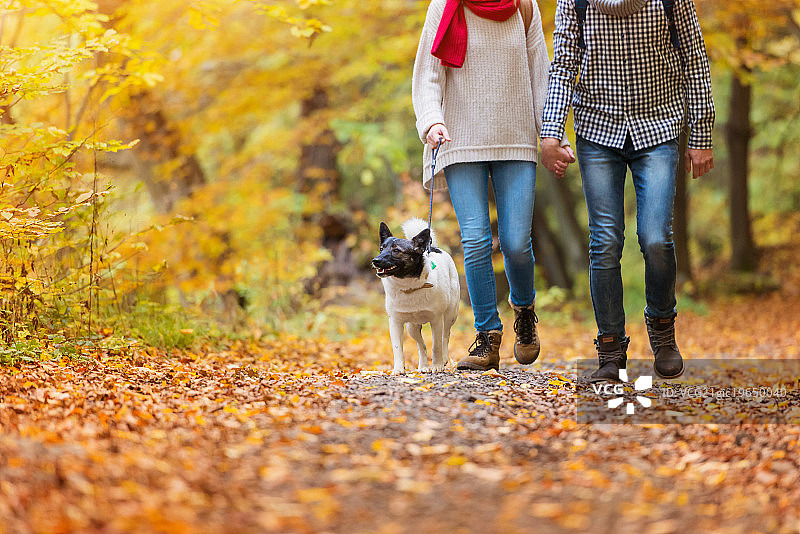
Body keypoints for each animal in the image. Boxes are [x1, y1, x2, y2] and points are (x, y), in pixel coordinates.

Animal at [372, 220, 460, 374]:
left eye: (396, 251)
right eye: (381, 249)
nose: (375, 260)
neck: (409, 287)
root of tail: (433, 248)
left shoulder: (436, 321)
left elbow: (436, 346)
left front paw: (437, 365)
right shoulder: (395, 322)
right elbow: (397, 349)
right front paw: (398, 369)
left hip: (450, 316)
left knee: (445, 337)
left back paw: (443, 359)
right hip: (412, 327)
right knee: (421, 345)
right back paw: (423, 366)